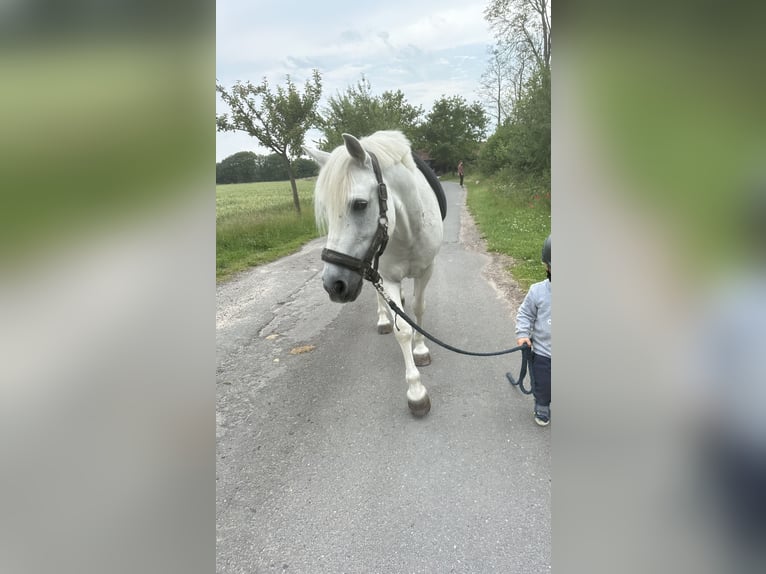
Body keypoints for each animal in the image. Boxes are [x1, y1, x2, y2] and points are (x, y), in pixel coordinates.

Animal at [304, 130, 446, 416]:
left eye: (360, 204)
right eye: (326, 210)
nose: (333, 285)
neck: (408, 228)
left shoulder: (426, 270)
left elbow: (419, 309)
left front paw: (421, 349)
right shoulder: (386, 277)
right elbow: (402, 329)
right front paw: (416, 391)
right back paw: (383, 319)